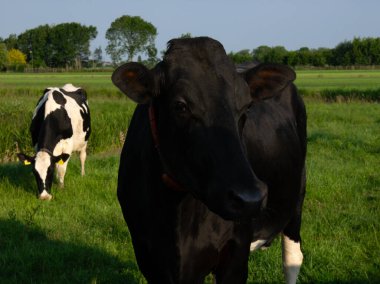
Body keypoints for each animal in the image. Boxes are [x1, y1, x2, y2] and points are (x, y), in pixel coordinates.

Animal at [112, 36, 306, 282]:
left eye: (247, 106)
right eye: (180, 105)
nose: (250, 198)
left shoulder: (236, 252)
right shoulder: (147, 254)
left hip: (297, 196)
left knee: (292, 259)